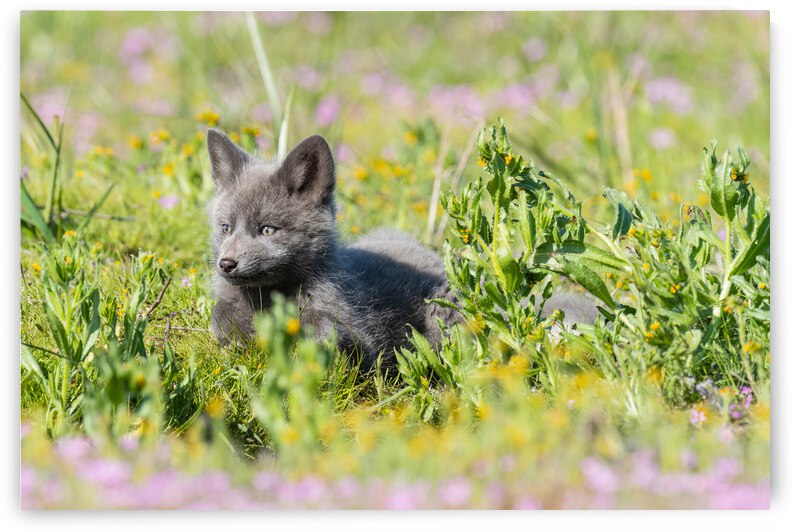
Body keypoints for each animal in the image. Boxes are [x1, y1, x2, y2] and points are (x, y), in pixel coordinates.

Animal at [206, 130, 460, 370]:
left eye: (267, 229)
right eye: (226, 228)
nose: (226, 264)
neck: (269, 299)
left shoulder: (366, 342)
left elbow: (326, 327)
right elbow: (219, 313)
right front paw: (234, 340)